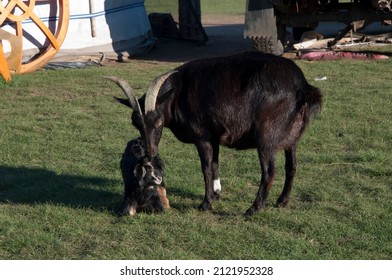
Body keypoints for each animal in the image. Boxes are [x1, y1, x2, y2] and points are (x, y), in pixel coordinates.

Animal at [107, 51, 322, 215]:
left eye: (158, 122)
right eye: (135, 123)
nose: (149, 154)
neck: (177, 93)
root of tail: (303, 87)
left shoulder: (202, 137)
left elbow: (206, 168)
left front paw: (206, 203)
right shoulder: (215, 136)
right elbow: (216, 164)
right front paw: (217, 194)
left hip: (266, 138)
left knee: (269, 171)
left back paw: (253, 209)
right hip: (293, 137)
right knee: (292, 166)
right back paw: (282, 201)